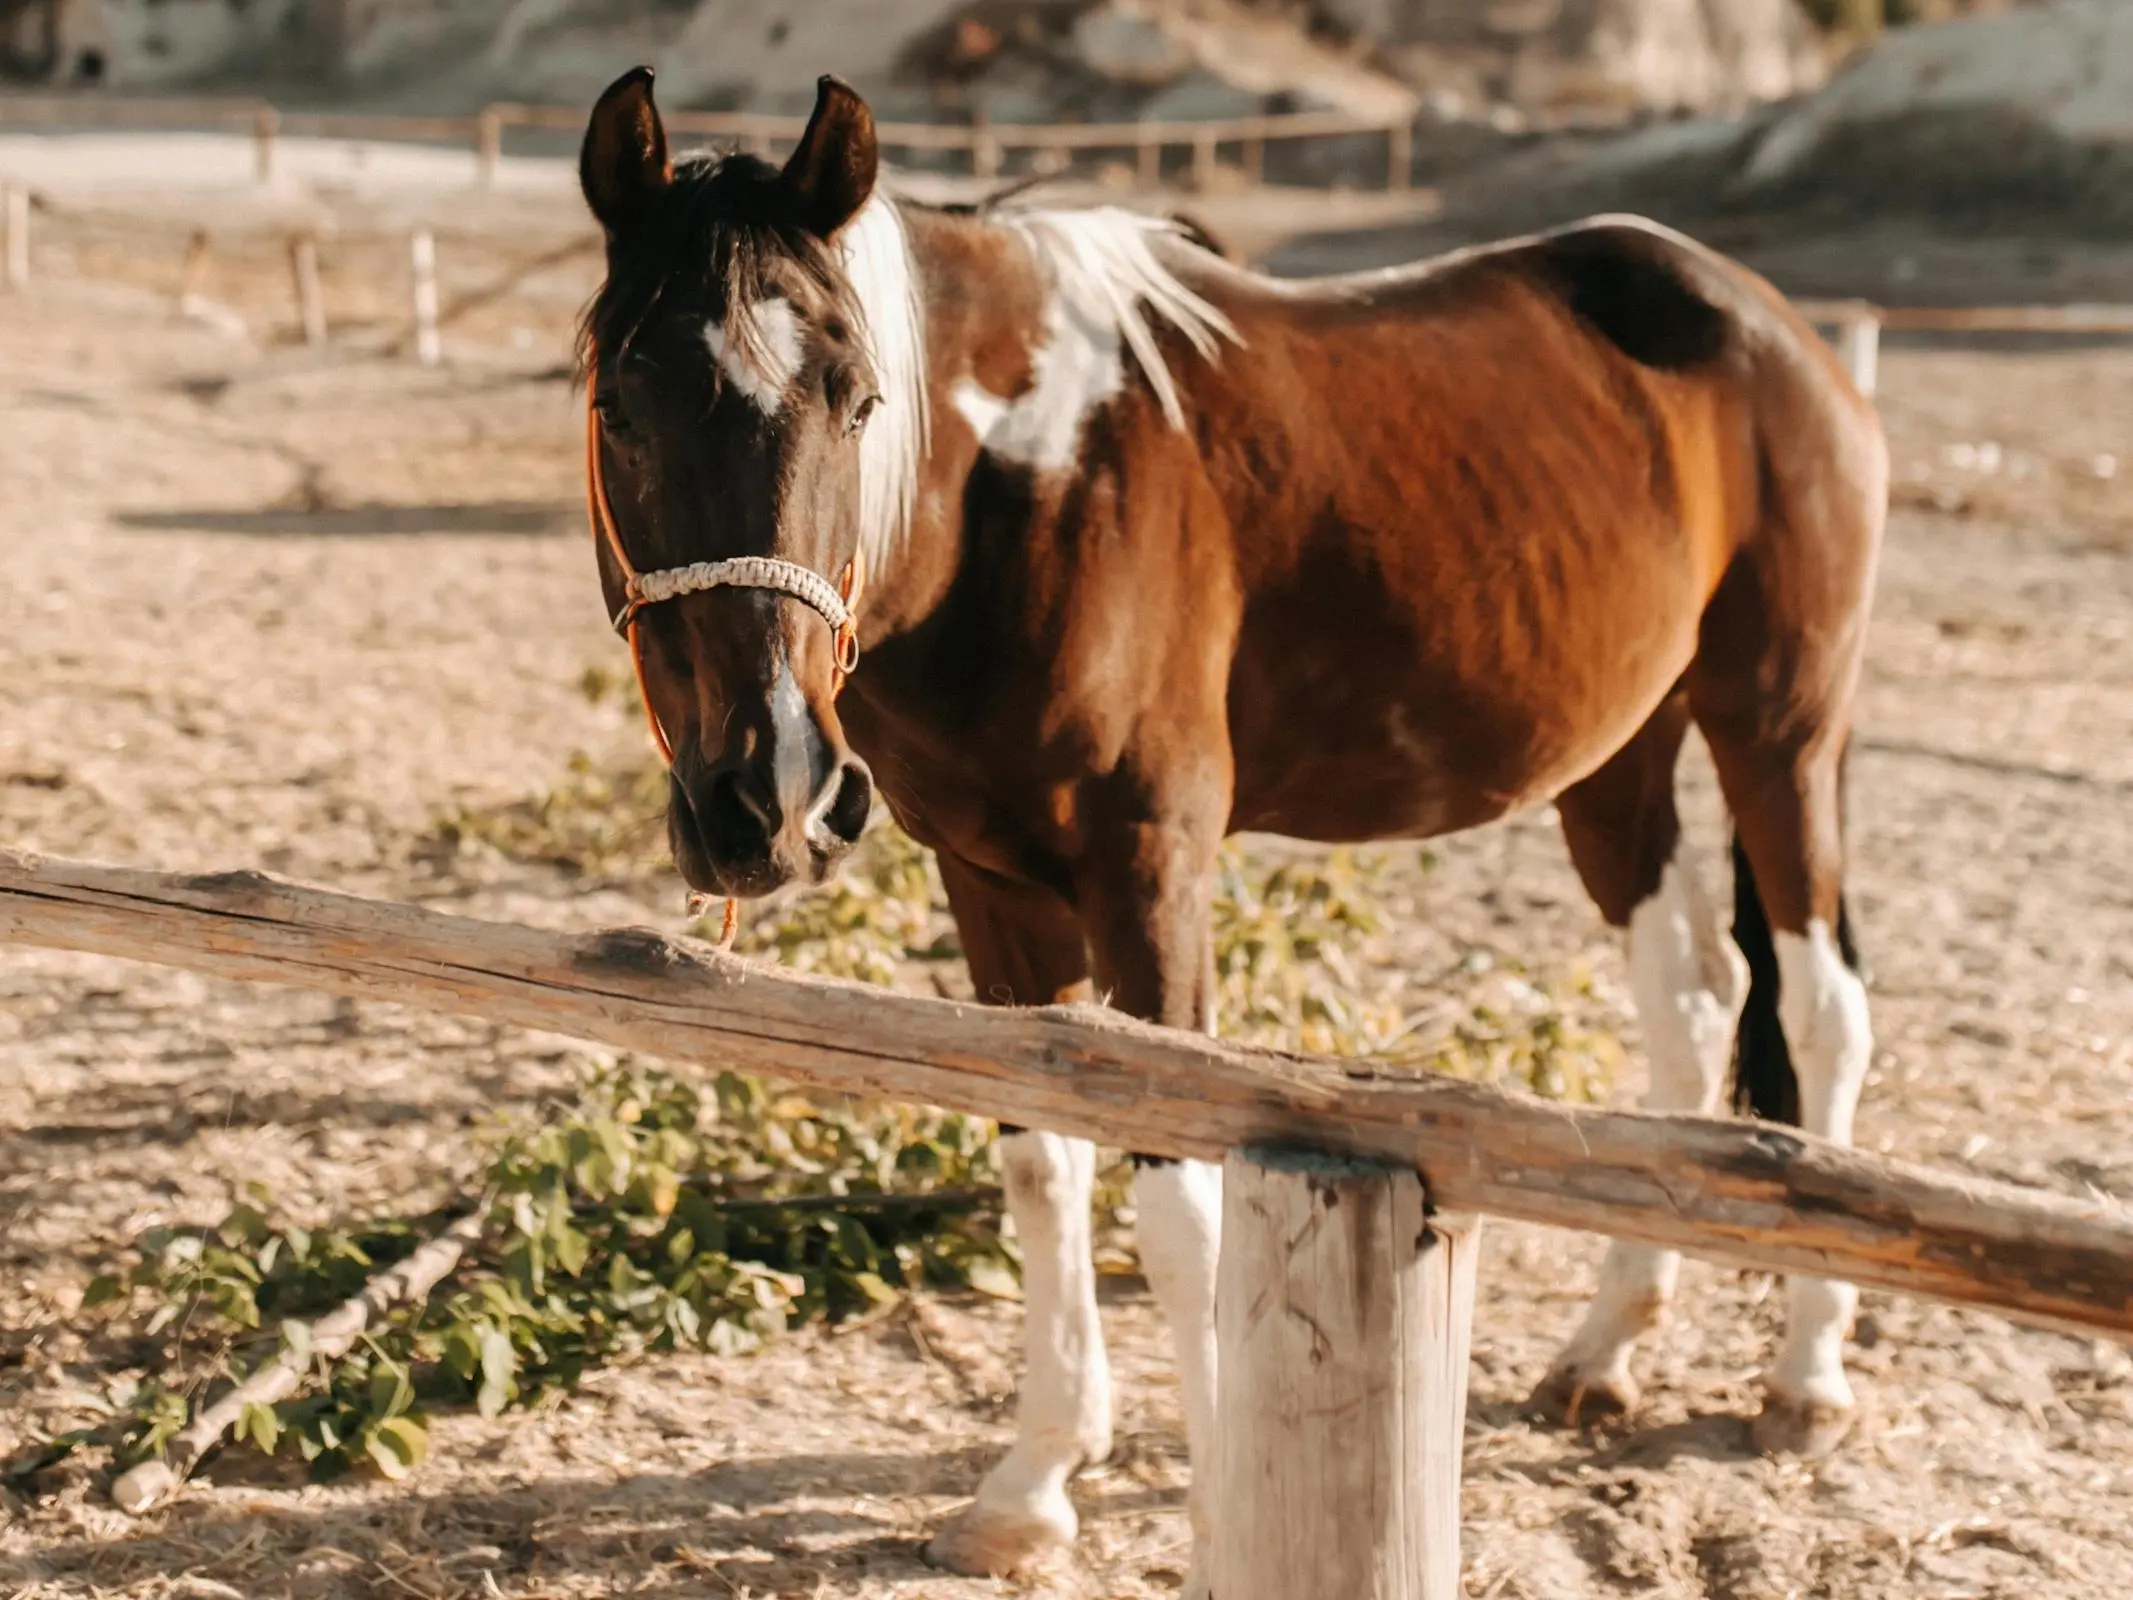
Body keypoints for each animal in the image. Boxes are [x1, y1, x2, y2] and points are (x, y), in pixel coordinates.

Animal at [567, 72, 1885, 1595]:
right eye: (618, 403)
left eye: (859, 400)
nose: (769, 798)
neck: (1020, 487)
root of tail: (1770, 325)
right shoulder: (988, 883)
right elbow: (1043, 1163)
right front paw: (1033, 1483)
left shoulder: (1152, 871)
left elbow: (1178, 1203)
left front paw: (1209, 1517)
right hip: (1619, 760)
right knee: (1694, 1000)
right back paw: (1605, 1349)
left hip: (1780, 729)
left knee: (1819, 1008)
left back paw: (1806, 1377)